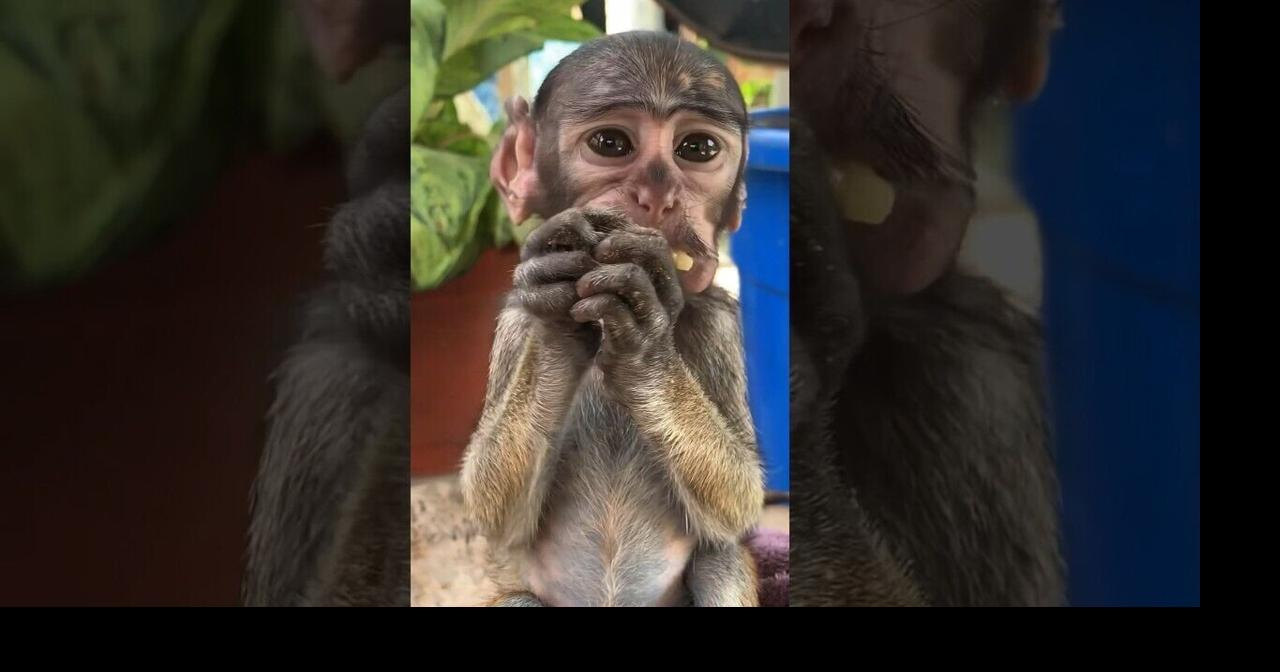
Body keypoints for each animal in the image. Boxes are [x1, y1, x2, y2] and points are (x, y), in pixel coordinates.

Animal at [460, 31, 765, 607]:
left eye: (697, 149)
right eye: (610, 143)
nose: (659, 196)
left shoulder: (719, 321)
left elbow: (739, 506)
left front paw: (644, 348)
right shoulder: (513, 321)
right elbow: (494, 516)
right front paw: (557, 332)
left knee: (721, 558)